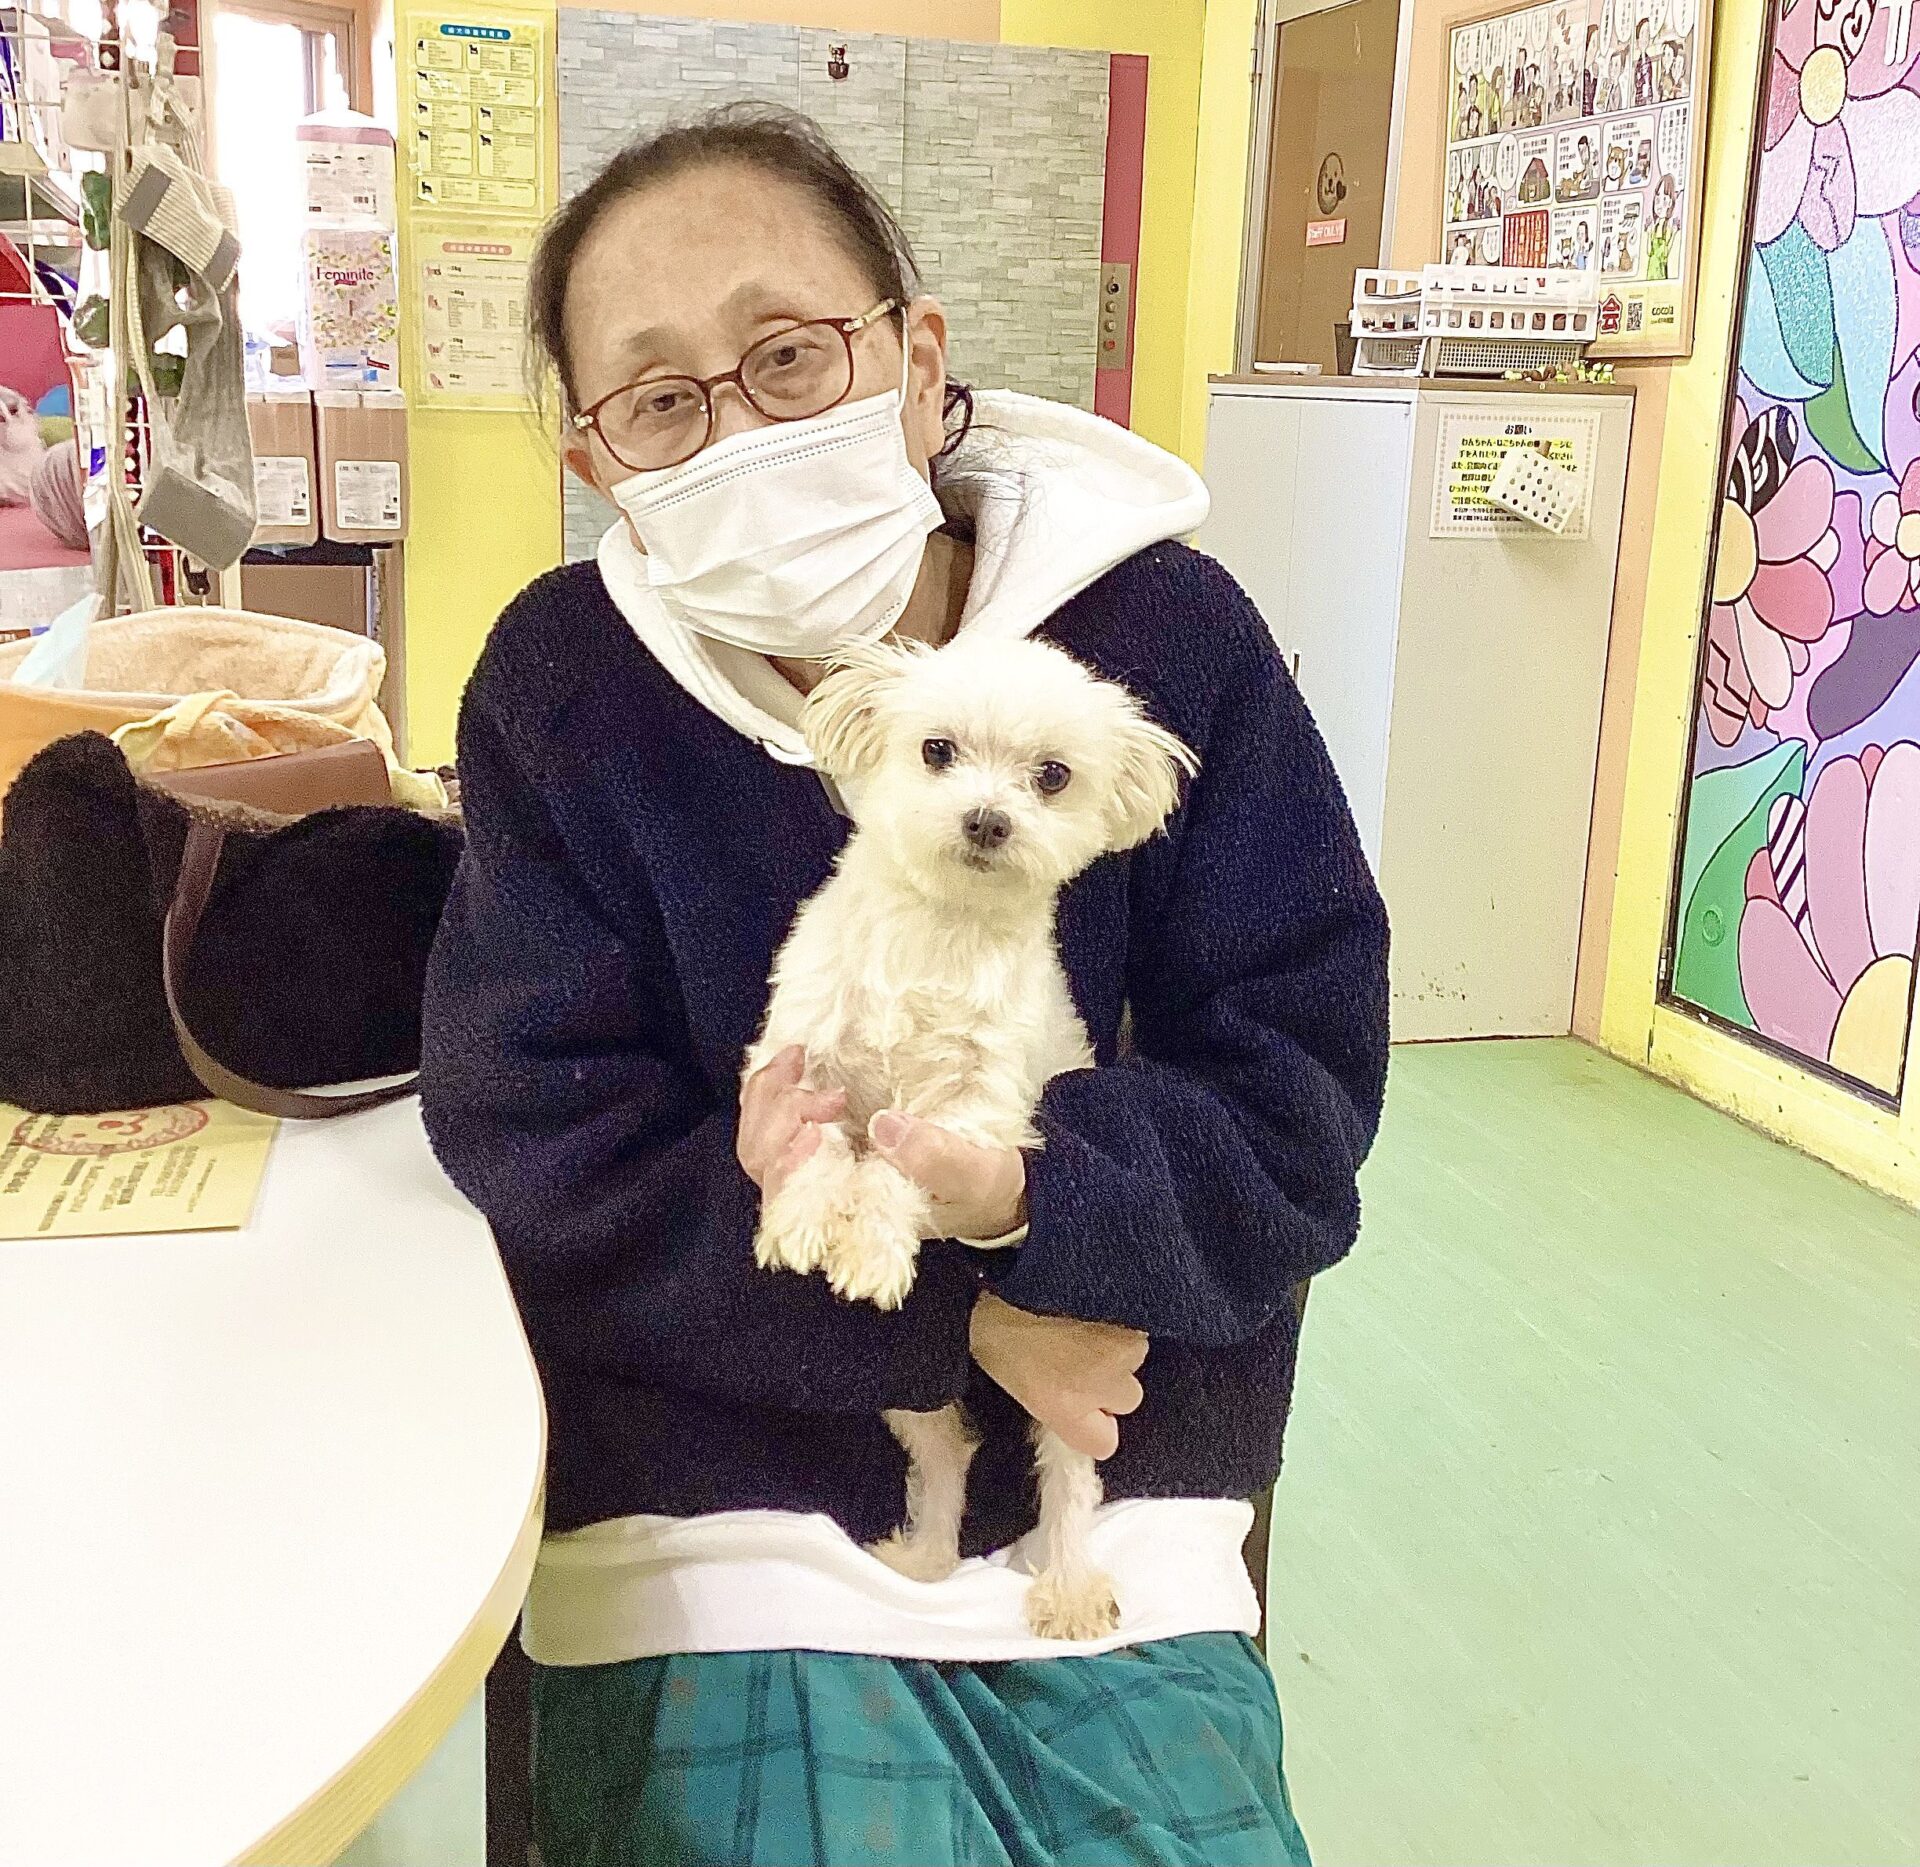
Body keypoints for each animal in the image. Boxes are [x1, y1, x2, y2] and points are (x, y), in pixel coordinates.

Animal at [746, 633, 1196, 1639]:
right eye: (936, 750)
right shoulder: (804, 1066)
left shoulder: (969, 1116)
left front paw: (870, 1246)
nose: (988, 820)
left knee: (1068, 1480)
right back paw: (924, 1561)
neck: (936, 932)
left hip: (1079, 1374)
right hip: (909, 1383)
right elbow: (820, 1151)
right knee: (947, 1450)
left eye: (1053, 775)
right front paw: (800, 1215)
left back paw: (1068, 1584)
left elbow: (891, 1175)